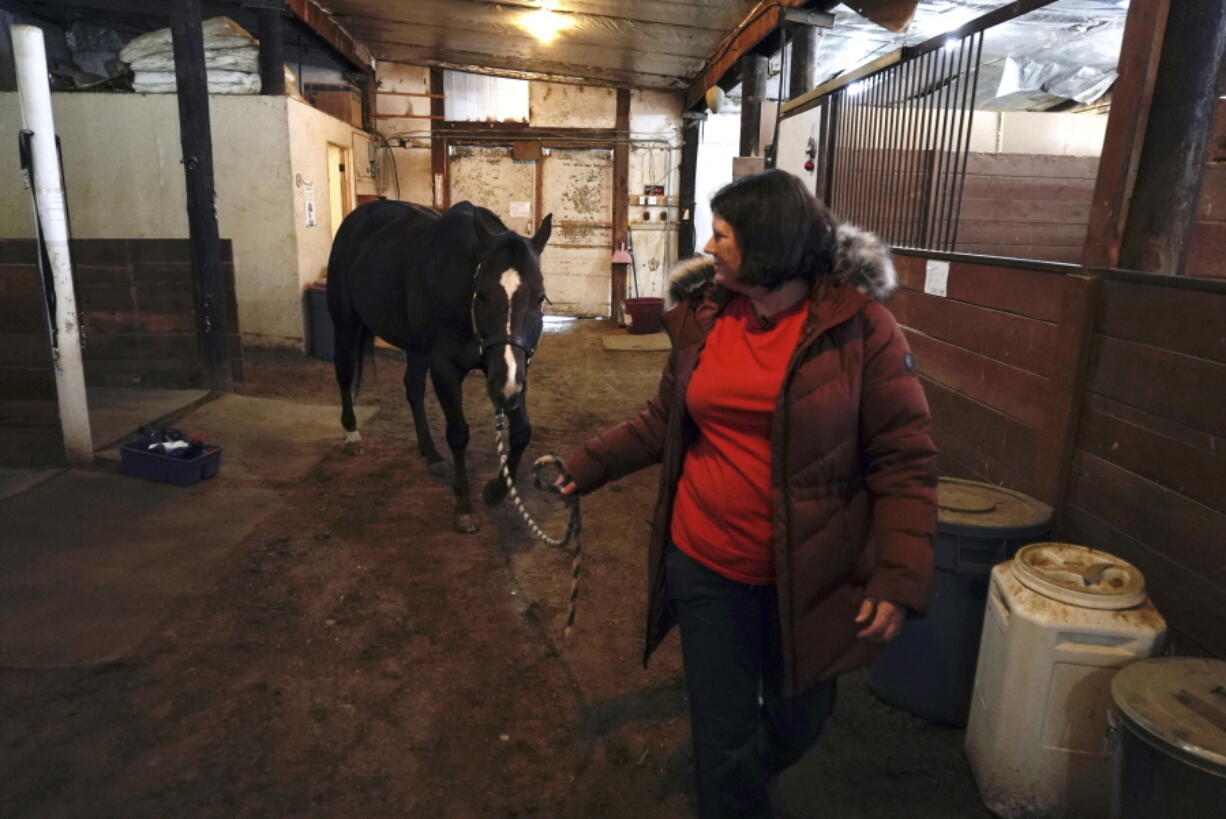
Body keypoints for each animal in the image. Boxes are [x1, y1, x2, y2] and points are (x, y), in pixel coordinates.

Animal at [328, 197, 554, 532]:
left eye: (539, 298)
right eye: (482, 294)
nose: (505, 389)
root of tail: (358, 217)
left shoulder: (514, 370)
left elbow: (522, 431)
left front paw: (496, 490)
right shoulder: (446, 367)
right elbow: (458, 433)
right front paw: (464, 506)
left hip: (418, 348)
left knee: (412, 389)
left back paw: (431, 453)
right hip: (345, 323)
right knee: (344, 374)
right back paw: (352, 434)